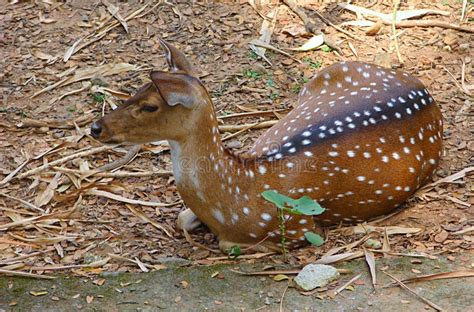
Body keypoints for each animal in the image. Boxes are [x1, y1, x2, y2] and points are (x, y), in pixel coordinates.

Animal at [90, 40, 442, 252]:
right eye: (136, 89)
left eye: (150, 105)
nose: (96, 127)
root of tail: (423, 91)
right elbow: (181, 218)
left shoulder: (299, 226)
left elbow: (227, 245)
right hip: (329, 72)